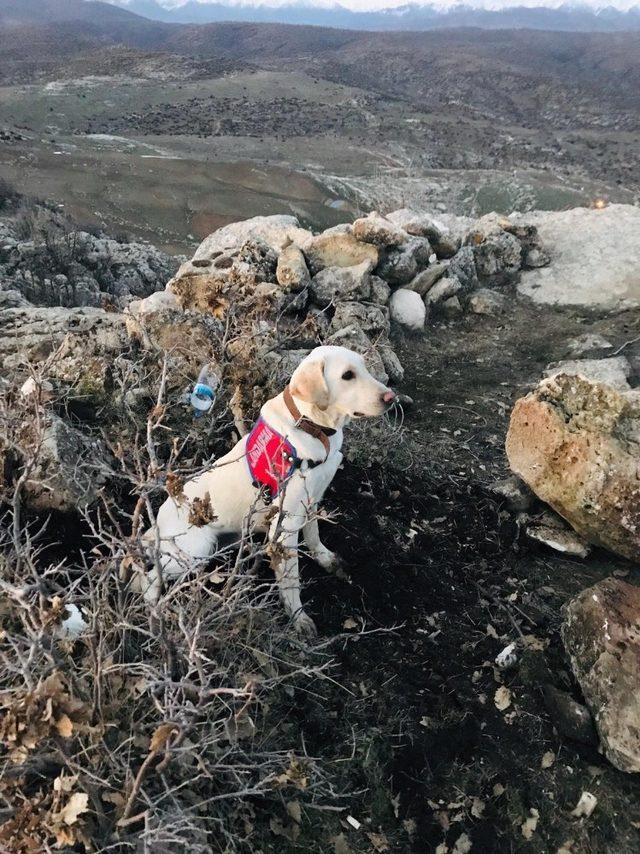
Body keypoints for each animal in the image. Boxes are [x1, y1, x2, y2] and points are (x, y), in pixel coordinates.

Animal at [141, 346, 396, 636]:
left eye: (364, 367)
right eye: (347, 375)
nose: (391, 397)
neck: (313, 426)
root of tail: (156, 526)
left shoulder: (312, 500)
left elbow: (314, 533)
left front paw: (325, 558)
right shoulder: (286, 523)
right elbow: (291, 578)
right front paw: (298, 617)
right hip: (196, 549)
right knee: (148, 580)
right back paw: (156, 615)